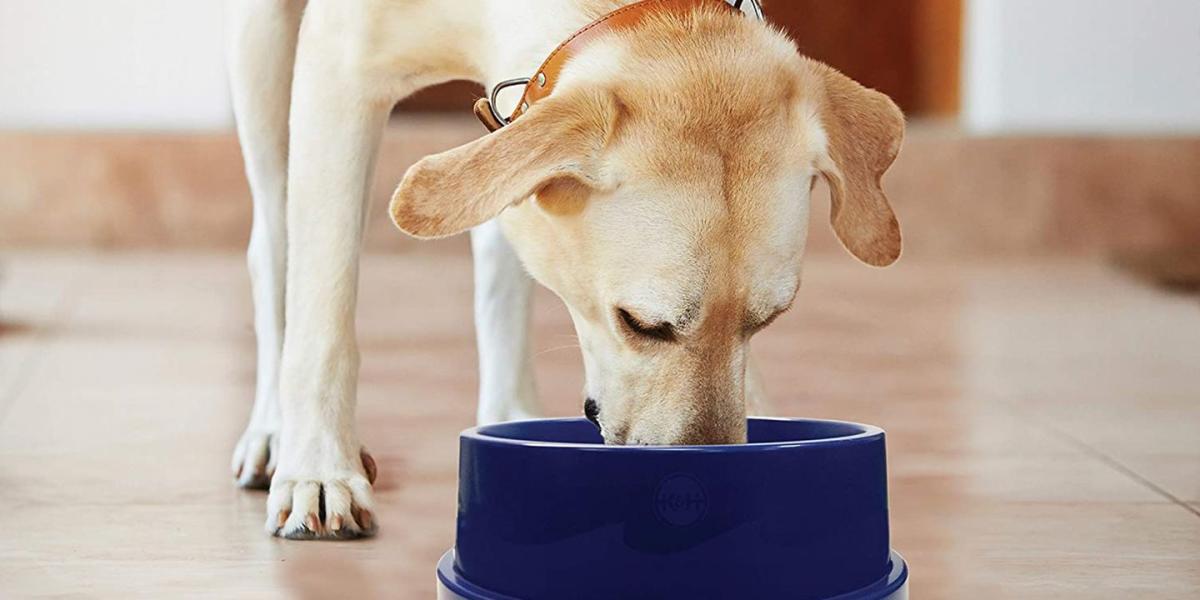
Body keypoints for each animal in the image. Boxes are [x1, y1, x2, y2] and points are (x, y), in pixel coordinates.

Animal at [225, 0, 902, 540]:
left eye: (766, 321)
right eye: (639, 324)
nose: (706, 497)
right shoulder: (339, 68)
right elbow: (324, 305)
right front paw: (320, 468)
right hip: (261, 49)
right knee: (275, 245)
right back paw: (274, 434)